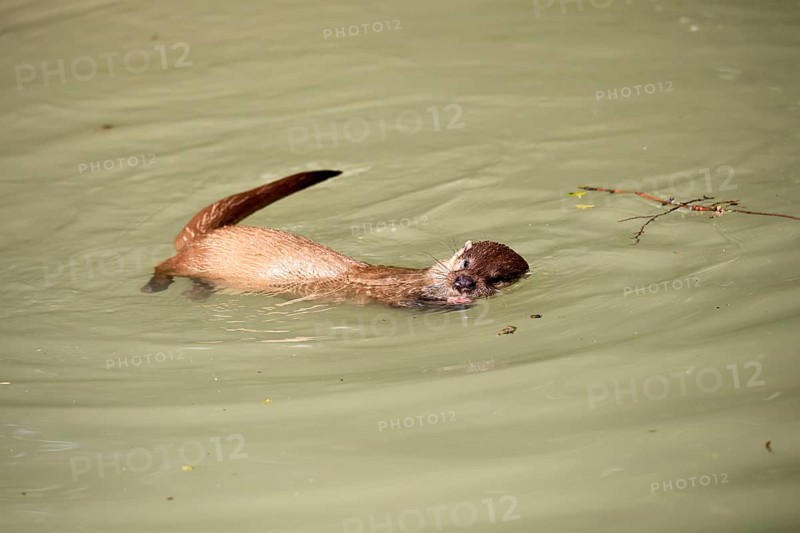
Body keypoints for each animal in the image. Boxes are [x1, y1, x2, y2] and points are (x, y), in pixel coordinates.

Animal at [141, 170, 529, 307]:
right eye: (465, 261)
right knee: (164, 264)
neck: (421, 280)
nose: (464, 282)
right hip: (195, 257)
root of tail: (211, 233)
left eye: (495, 278)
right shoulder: (389, 292)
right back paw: (153, 287)